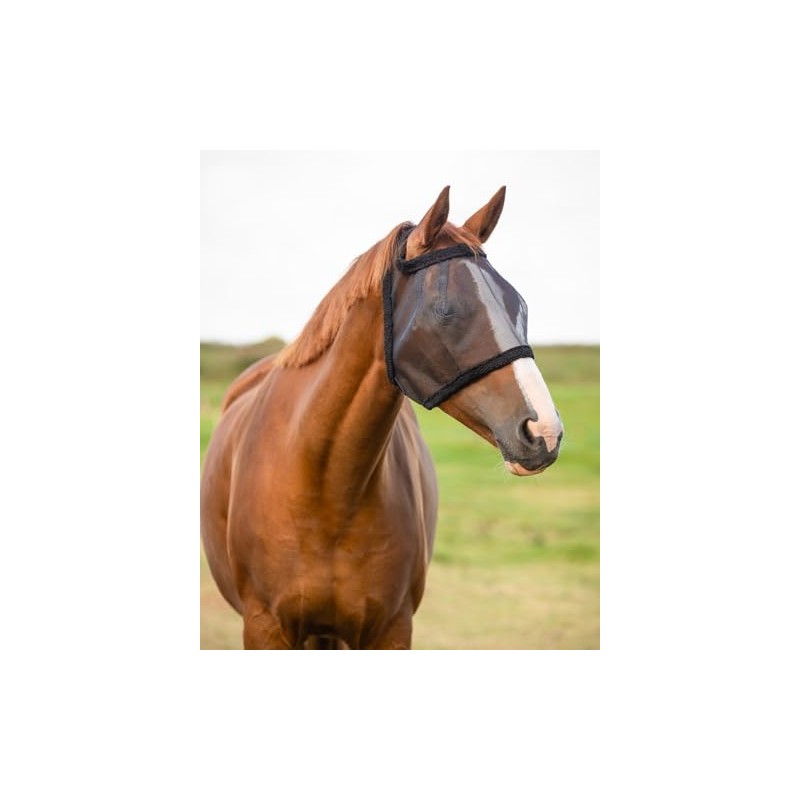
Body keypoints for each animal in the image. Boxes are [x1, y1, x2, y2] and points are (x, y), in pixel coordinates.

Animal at [200, 186, 564, 649]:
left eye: (520, 305)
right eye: (445, 310)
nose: (545, 431)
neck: (328, 489)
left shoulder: (391, 628)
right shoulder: (265, 626)